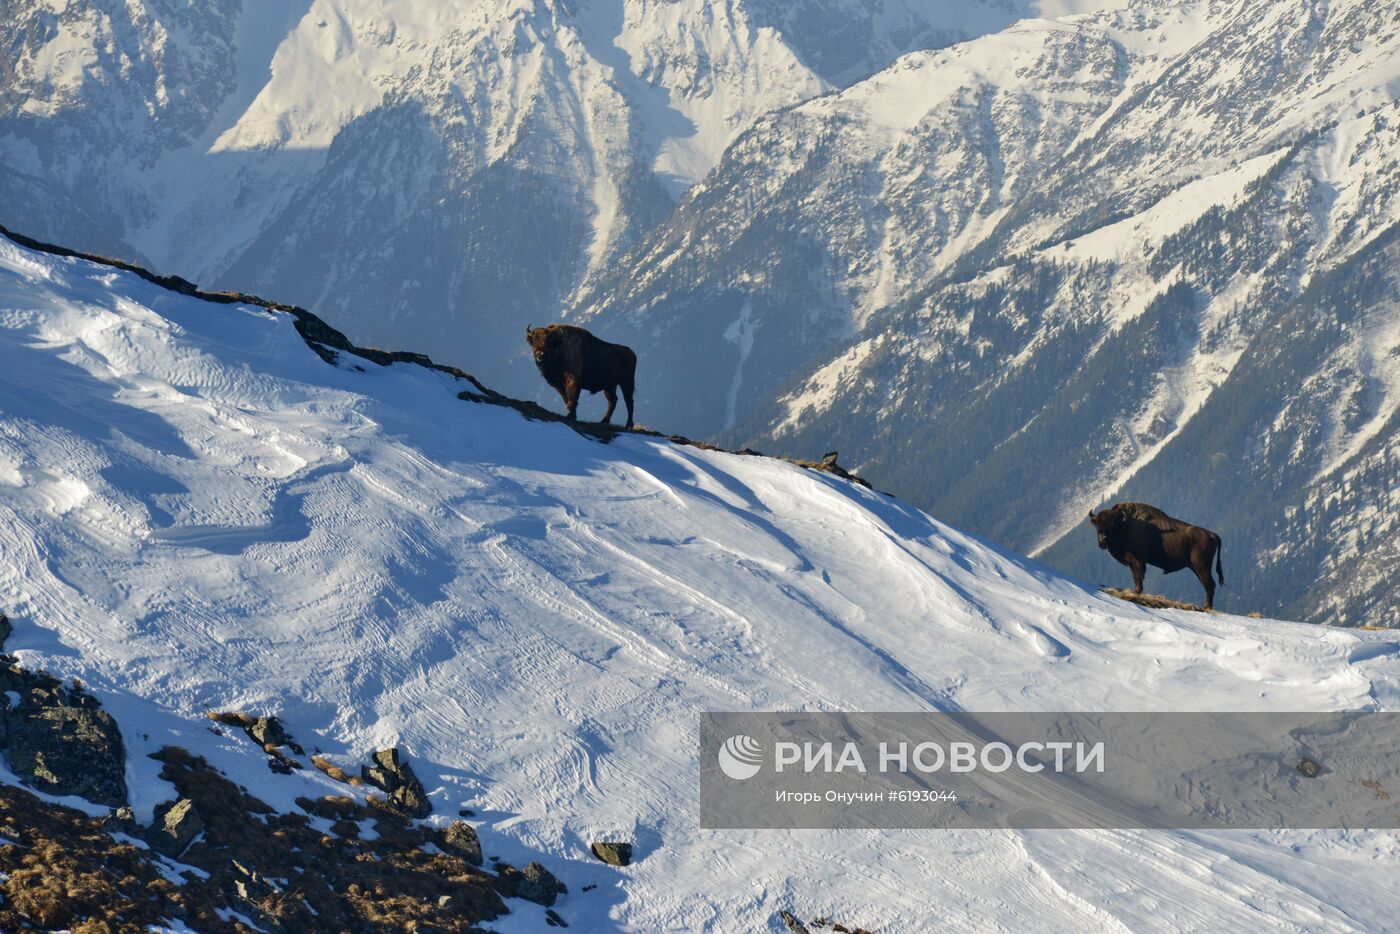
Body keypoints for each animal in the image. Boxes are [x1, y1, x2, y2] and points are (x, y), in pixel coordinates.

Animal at [1080, 506, 1226, 610]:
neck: (1125, 525)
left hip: (1201, 567)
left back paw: (1207, 607)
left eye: (1112, 525)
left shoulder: (1138, 560)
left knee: (1209, 585)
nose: (1102, 539)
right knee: (1208, 585)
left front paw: (1137, 592)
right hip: (1196, 568)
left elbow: (1139, 577)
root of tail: (1213, 534)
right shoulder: (1132, 562)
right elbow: (1135, 577)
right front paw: (1136, 591)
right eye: (1097, 524)